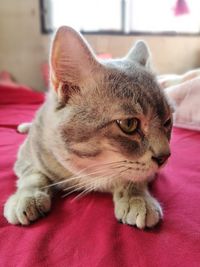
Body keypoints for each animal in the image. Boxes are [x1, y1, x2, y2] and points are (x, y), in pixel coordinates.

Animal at [3, 26, 172, 229]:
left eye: (167, 122)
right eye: (129, 124)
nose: (165, 156)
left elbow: (134, 176)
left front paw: (137, 197)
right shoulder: (26, 156)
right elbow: (33, 175)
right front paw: (27, 195)